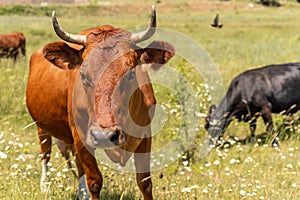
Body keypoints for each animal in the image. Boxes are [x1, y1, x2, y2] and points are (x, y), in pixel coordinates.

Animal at [26, 6, 176, 200]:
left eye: (131, 73)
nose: (104, 135)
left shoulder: (146, 135)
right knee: (46, 154)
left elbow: (145, 182)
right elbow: (95, 181)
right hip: (41, 126)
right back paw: (45, 186)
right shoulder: (81, 136)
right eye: (83, 75)